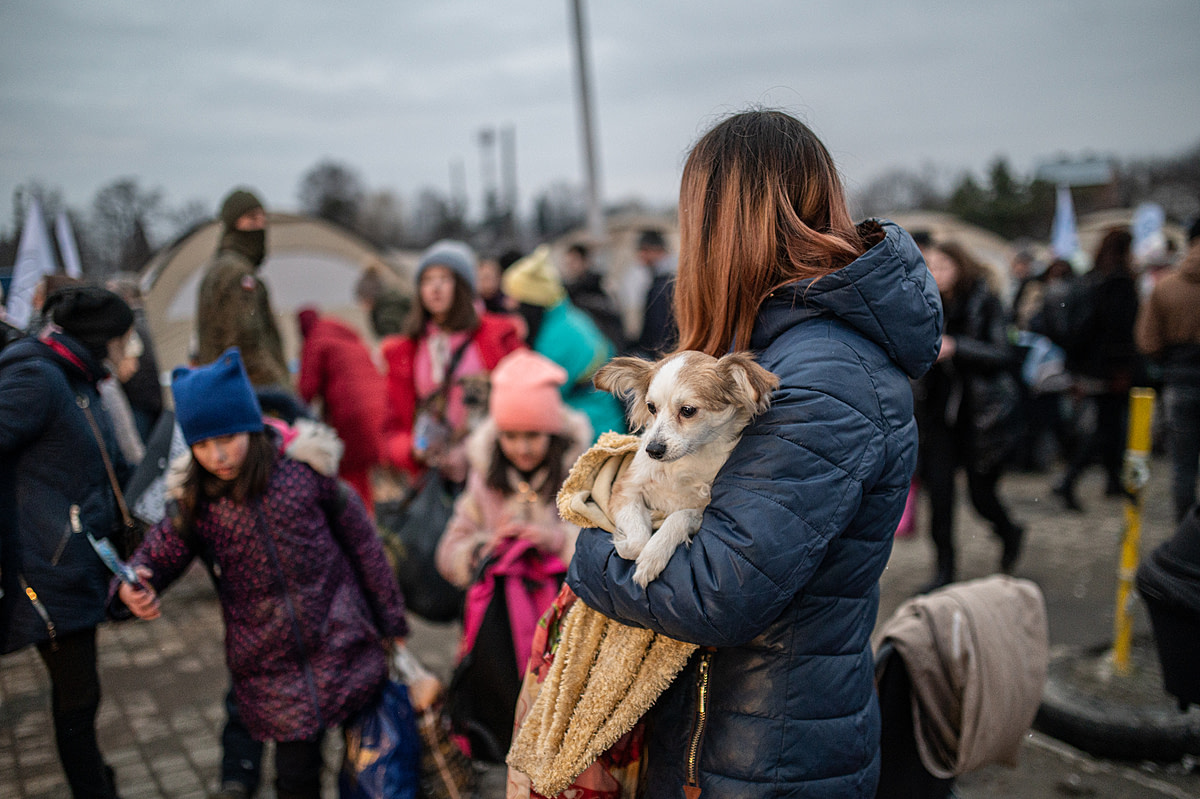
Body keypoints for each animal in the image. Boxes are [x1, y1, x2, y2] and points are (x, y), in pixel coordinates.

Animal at [590, 350, 777, 585]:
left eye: (687, 410)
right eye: (651, 407)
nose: (653, 450)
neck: (684, 462)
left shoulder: (700, 512)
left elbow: (679, 516)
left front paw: (653, 555)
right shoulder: (625, 490)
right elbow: (636, 542)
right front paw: (624, 542)